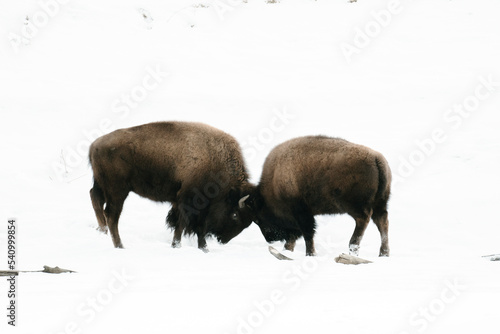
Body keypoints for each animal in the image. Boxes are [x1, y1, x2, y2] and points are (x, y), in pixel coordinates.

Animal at [88, 120, 254, 250]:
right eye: (235, 215)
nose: (223, 240)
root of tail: (94, 145)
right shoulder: (189, 201)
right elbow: (182, 224)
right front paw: (177, 245)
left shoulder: (185, 203)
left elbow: (191, 226)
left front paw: (202, 248)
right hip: (117, 191)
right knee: (111, 215)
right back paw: (120, 245)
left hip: (101, 185)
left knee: (95, 199)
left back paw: (103, 231)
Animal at [248, 135, 392, 256]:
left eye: (258, 219)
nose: (270, 239)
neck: (274, 178)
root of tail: (376, 158)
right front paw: (288, 251)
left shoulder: (301, 212)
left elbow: (307, 233)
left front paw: (310, 254)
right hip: (380, 203)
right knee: (382, 221)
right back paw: (383, 253)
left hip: (354, 205)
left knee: (364, 220)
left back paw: (353, 249)